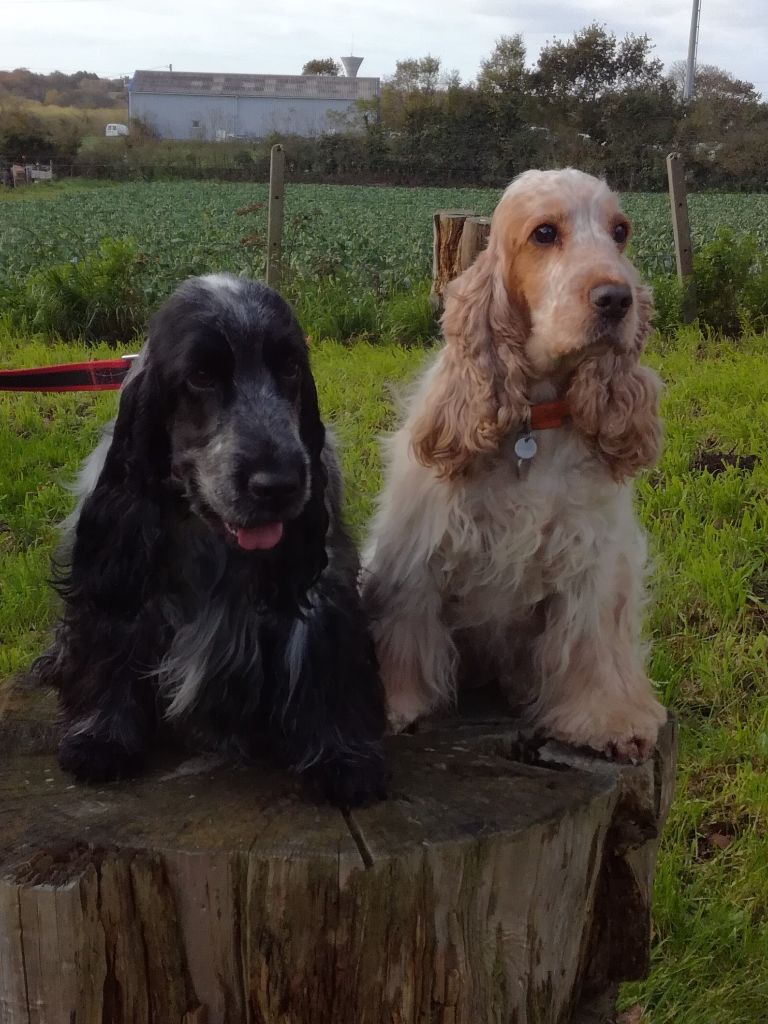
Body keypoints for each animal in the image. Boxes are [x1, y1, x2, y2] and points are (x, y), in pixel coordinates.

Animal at [33, 274, 387, 806]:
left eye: (289, 368)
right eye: (201, 376)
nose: (278, 484)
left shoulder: (323, 586)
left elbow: (326, 663)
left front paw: (343, 759)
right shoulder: (120, 578)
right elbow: (112, 643)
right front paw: (99, 740)